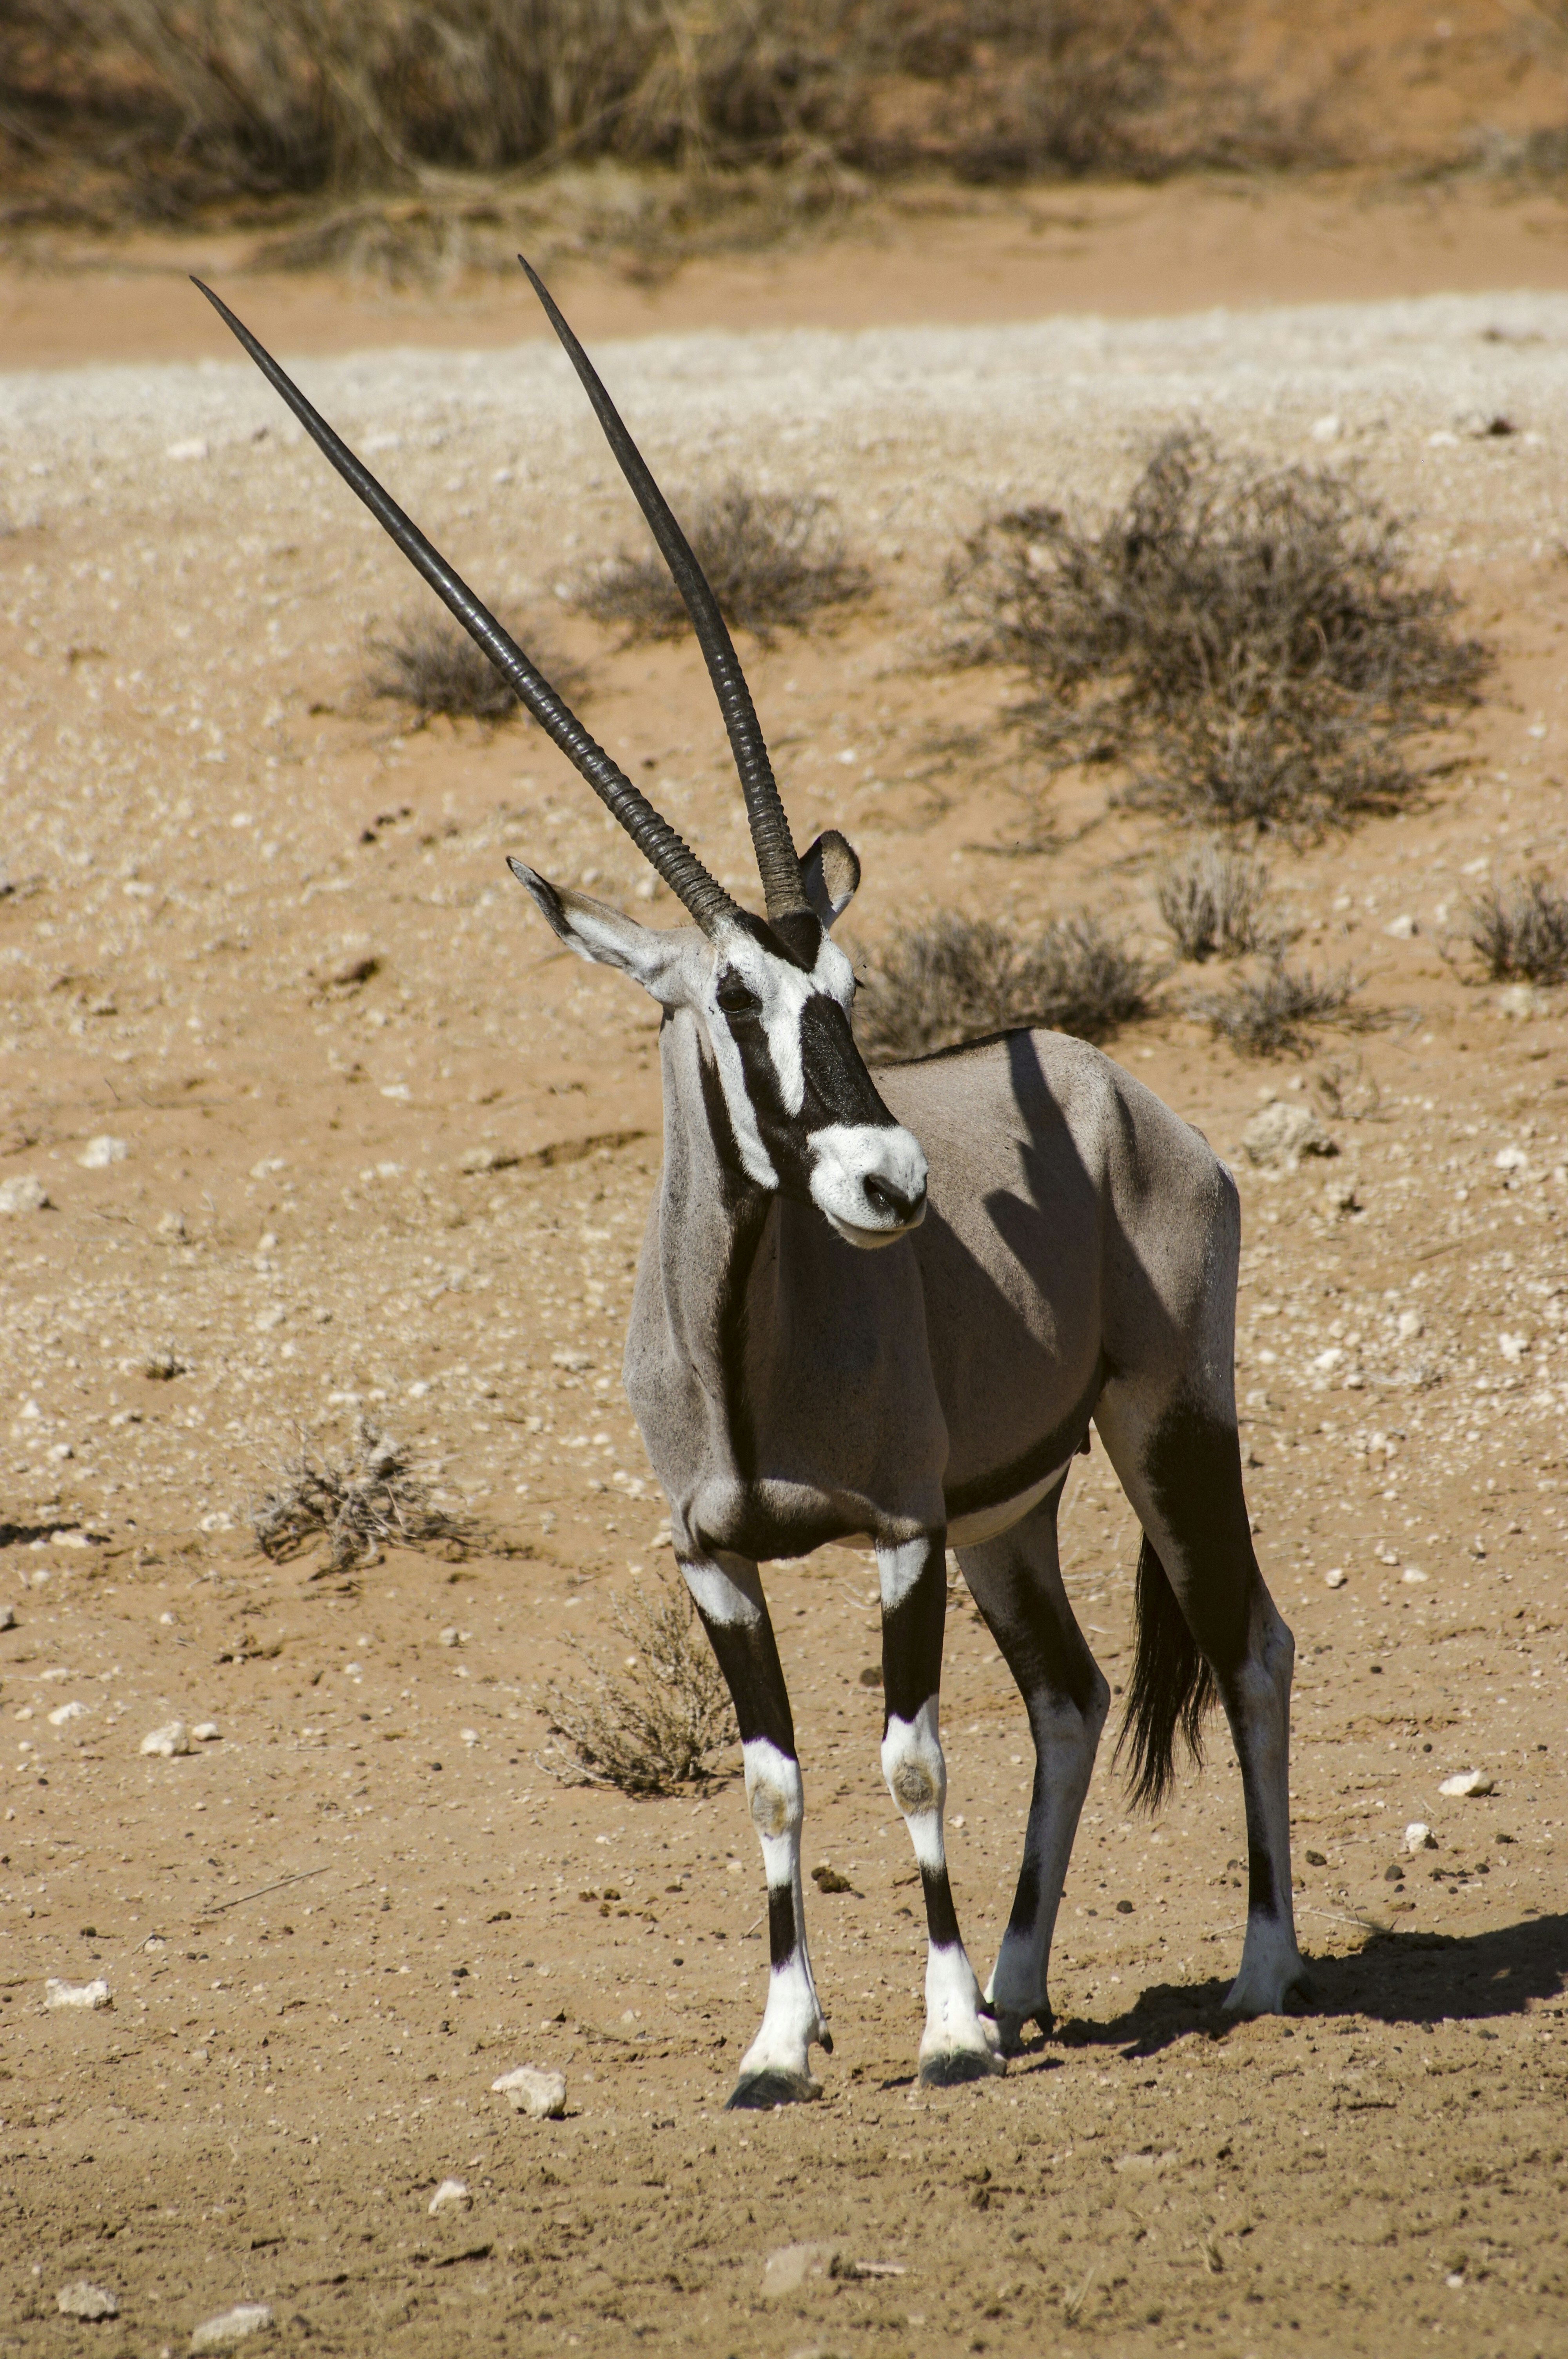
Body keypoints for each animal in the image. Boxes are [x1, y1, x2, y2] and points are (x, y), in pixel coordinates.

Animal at [197, 267, 1313, 2107]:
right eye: (731, 996)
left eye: (844, 985)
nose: (889, 1176)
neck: (740, 1345)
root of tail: (1117, 1088)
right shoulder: (717, 1559)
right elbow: (777, 1774)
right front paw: (784, 2041)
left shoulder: (896, 1530)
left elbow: (909, 1752)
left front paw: (937, 2033)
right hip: (1014, 1505)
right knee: (1073, 1691)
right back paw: (1022, 1977)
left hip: (1162, 1418)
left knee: (1245, 1643)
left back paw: (1256, 1962)